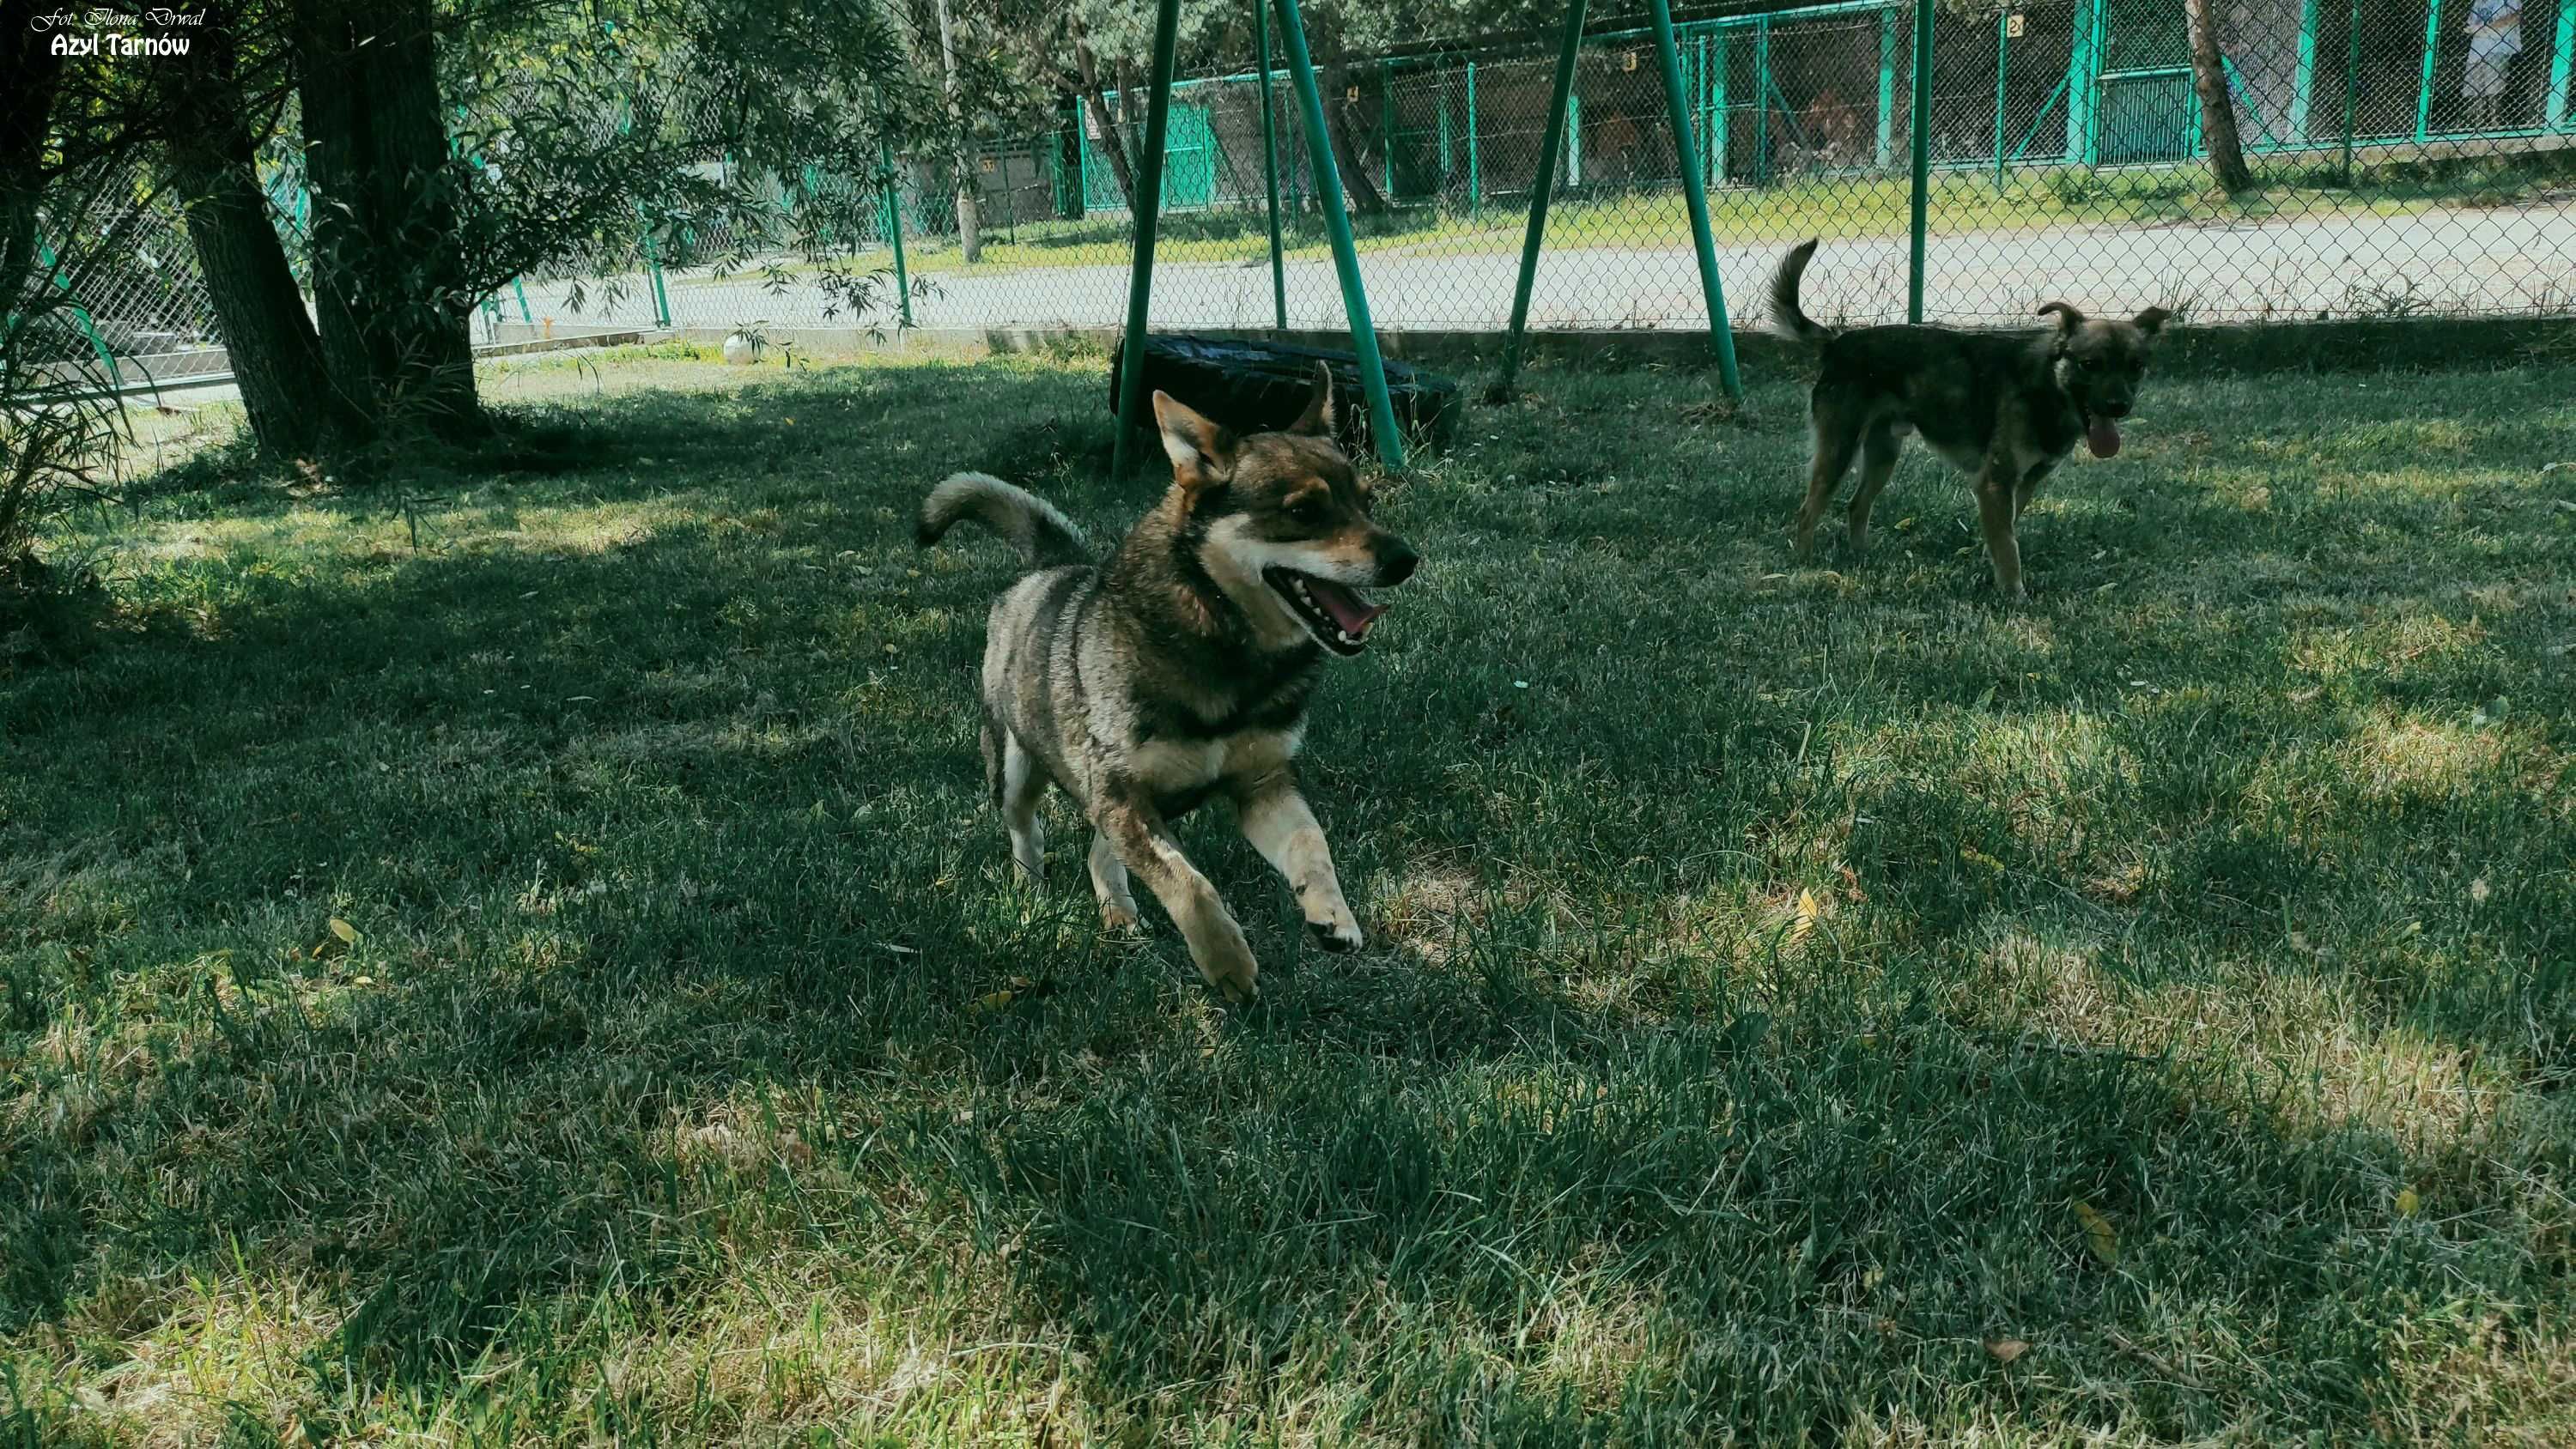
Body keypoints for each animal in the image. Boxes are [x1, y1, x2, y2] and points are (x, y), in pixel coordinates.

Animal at [1762, 238, 2164, 602]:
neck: (2045, 387)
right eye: (2090, 364)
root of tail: (1838, 342)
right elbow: (2008, 545)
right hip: (1839, 451)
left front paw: (1992, 569)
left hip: (1883, 455)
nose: (2119, 406)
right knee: (1807, 511)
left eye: (2136, 366)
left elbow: (2005, 533)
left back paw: (1861, 556)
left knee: (1856, 505)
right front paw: (2014, 595)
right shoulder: (1995, 482)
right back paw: (1805, 566)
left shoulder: (2024, 483)